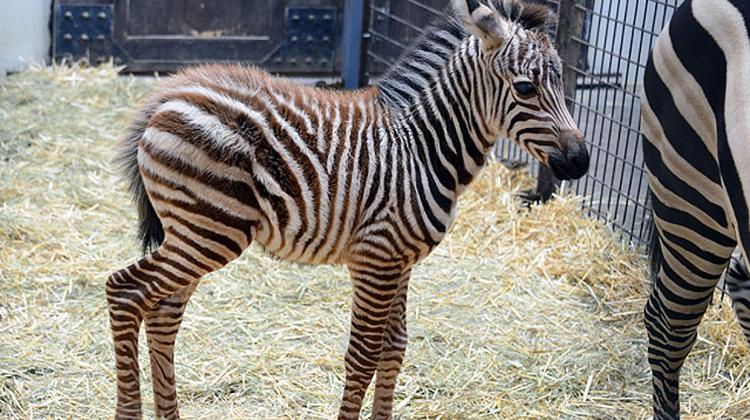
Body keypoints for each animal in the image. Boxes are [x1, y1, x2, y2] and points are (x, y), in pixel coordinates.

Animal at [107, 0, 589, 418]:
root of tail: (166, 95)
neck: (422, 146)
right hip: (208, 230)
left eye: (560, 83)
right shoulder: (375, 256)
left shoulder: (401, 259)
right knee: (125, 290)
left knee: (163, 313)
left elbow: (395, 348)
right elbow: (364, 354)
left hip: (194, 231)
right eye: (525, 87)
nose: (581, 162)